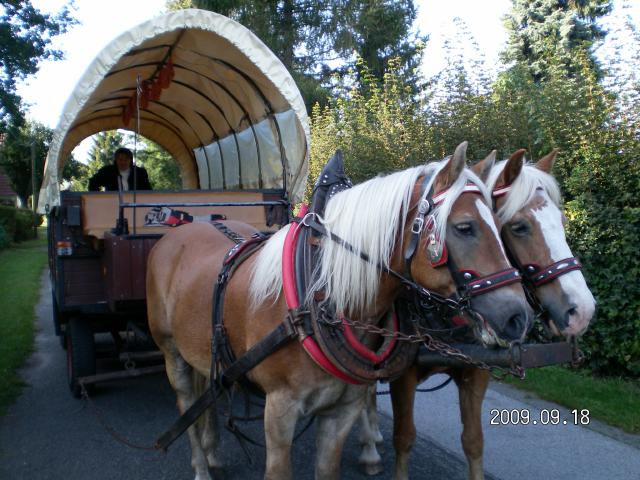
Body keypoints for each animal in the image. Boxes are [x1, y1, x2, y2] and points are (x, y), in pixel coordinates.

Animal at [145, 143, 528, 480]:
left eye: (501, 226)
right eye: (464, 227)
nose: (518, 316)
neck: (319, 296)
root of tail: (186, 226)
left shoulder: (342, 411)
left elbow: (327, 469)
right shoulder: (279, 410)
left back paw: (213, 453)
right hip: (171, 353)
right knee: (186, 404)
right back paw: (201, 465)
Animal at [360, 148, 600, 478]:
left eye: (562, 222)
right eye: (518, 227)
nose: (582, 310)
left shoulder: (476, 371)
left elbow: (473, 442)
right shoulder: (403, 375)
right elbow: (404, 438)